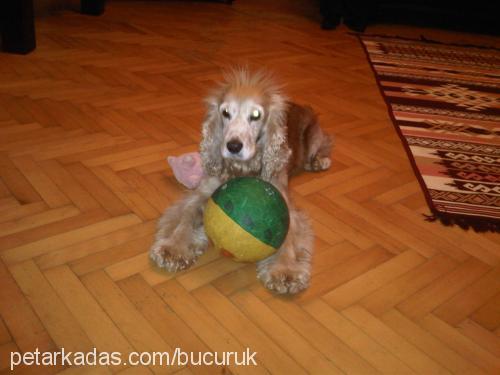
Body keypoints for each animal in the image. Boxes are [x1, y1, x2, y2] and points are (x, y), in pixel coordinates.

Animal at [150, 69, 334, 296]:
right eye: (225, 112)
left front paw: (285, 271)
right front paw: (174, 248)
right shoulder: (202, 193)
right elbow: (186, 217)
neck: (241, 168)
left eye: (255, 115)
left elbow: (289, 236)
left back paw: (320, 161)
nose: (233, 146)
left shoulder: (284, 205)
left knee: (322, 146)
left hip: (314, 136)